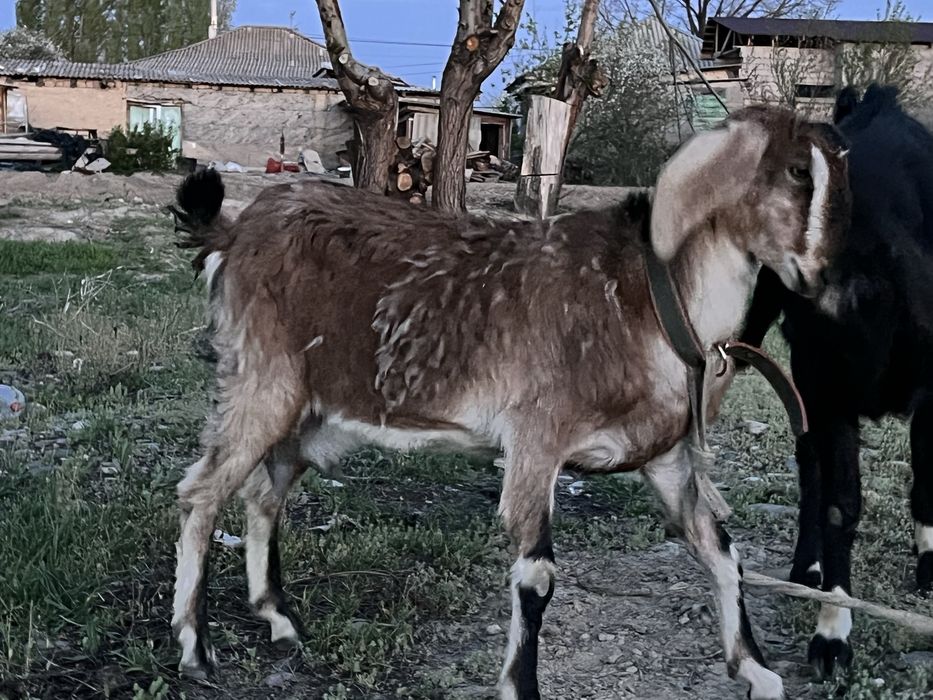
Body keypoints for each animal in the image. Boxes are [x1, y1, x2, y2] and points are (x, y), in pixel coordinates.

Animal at [170, 106, 849, 700]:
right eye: (796, 171)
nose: (827, 279)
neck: (651, 303)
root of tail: (236, 230)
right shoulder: (536, 440)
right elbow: (537, 575)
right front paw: (520, 686)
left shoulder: (664, 456)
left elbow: (722, 552)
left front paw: (757, 671)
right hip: (262, 382)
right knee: (203, 491)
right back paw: (195, 648)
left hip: (308, 412)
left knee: (264, 493)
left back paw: (279, 619)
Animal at [739, 84, 933, 678]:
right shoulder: (825, 392)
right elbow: (837, 504)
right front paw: (832, 631)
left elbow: (926, 480)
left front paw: (930, 565)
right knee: (810, 468)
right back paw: (808, 566)